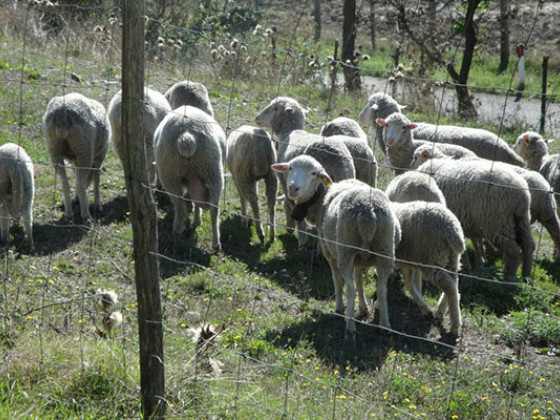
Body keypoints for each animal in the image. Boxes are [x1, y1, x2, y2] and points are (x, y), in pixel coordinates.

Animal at [42, 92, 109, 221]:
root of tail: (62, 115)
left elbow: (77, 177)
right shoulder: (100, 156)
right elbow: (96, 178)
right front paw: (98, 204)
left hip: (54, 148)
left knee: (65, 183)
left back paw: (68, 214)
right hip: (84, 149)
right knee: (82, 184)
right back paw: (86, 215)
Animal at [154, 104, 224, 251]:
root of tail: (186, 136)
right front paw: (197, 219)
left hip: (170, 173)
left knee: (179, 204)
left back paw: (180, 229)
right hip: (212, 170)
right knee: (214, 210)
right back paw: (215, 243)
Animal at [272, 155, 400, 342]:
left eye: (314, 173)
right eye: (290, 168)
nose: (293, 188)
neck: (321, 197)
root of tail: (368, 214)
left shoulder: (330, 252)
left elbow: (337, 279)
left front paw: (339, 308)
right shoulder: (359, 258)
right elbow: (359, 280)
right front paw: (363, 308)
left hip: (346, 249)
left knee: (350, 288)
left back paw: (350, 328)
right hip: (384, 250)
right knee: (382, 288)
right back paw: (385, 326)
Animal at [390, 200, 464, 334]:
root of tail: (452, 229)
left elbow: (410, 285)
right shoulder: (410, 262)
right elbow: (411, 284)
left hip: (432, 259)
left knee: (449, 286)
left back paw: (455, 324)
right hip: (451, 258)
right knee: (454, 283)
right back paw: (441, 310)